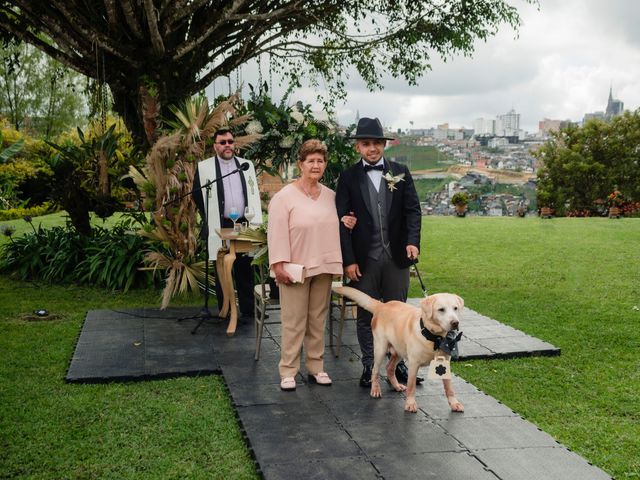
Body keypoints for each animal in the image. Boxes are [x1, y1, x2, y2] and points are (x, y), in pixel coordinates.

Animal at [332, 284, 462, 412]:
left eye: (455, 308)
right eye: (441, 309)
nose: (455, 323)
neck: (434, 337)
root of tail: (382, 305)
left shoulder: (445, 363)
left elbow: (449, 387)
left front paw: (454, 403)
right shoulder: (414, 363)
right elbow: (411, 386)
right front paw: (410, 404)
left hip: (398, 351)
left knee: (389, 368)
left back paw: (396, 385)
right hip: (380, 348)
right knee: (375, 370)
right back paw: (375, 389)